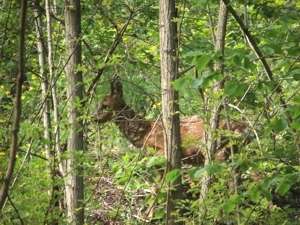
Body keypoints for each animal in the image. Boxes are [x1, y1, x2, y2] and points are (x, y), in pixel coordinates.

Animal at [94, 76, 248, 164]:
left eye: (105, 105)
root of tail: (246, 129)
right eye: (98, 103)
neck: (144, 133)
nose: (93, 117)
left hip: (219, 151)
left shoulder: (162, 151)